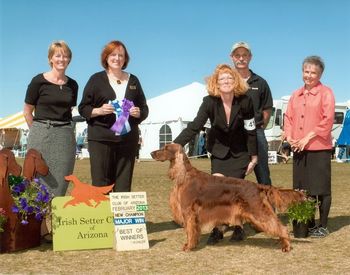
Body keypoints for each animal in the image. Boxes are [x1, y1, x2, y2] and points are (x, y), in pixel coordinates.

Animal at [150, 143, 306, 253]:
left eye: (165, 148)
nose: (151, 153)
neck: (185, 175)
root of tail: (257, 186)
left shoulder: (189, 212)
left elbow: (189, 231)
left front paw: (188, 246)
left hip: (258, 212)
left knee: (281, 227)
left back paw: (286, 246)